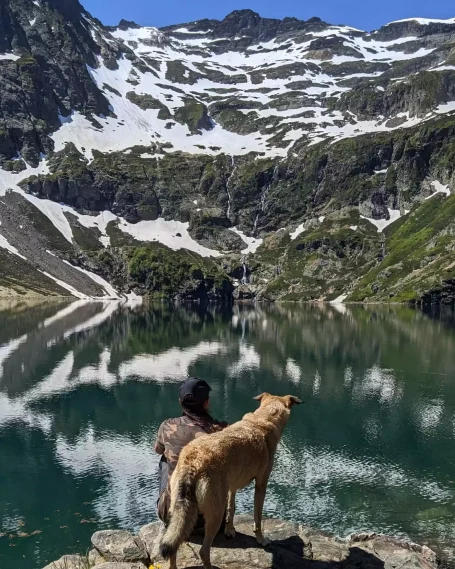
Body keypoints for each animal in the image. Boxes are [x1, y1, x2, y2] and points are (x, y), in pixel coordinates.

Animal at [159, 392, 302, 568]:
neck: (263, 420)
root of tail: (193, 462)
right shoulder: (261, 484)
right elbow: (258, 518)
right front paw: (261, 539)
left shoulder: (231, 486)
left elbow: (231, 509)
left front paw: (229, 530)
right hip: (214, 513)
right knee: (204, 551)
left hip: (178, 510)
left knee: (174, 546)